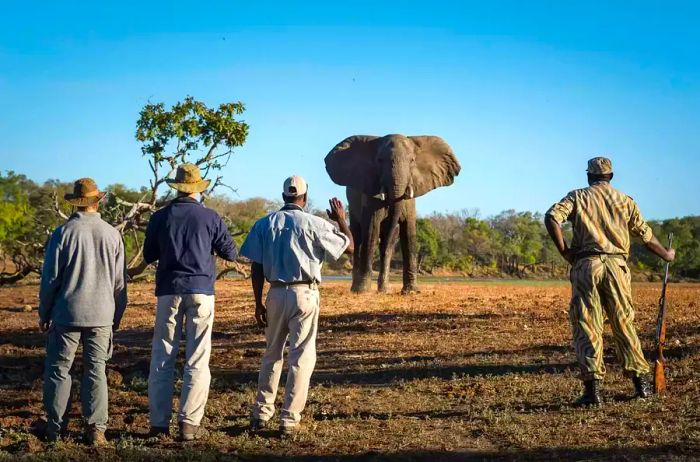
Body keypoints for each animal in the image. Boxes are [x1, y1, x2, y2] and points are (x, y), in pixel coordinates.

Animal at [324, 134, 460, 292]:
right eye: (379, 160)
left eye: (412, 160)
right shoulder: (371, 191)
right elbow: (372, 229)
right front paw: (363, 291)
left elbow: (409, 231)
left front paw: (411, 291)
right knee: (358, 238)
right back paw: (356, 288)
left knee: (388, 244)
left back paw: (383, 289)